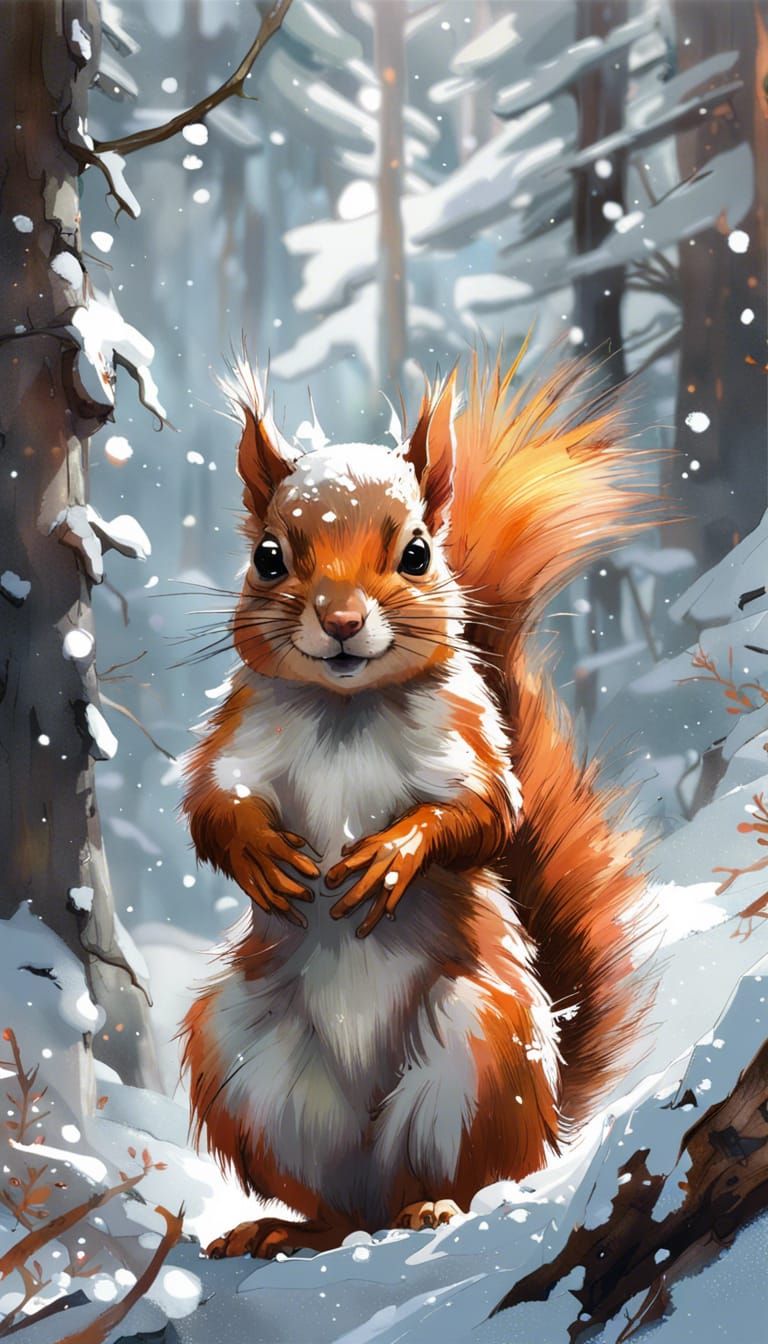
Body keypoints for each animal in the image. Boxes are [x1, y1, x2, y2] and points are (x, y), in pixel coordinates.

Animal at [180, 347, 649, 1260]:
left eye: (419, 553)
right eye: (268, 558)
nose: (340, 621)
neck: (346, 711)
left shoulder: (470, 743)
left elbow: (488, 816)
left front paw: (394, 856)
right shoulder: (235, 742)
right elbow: (209, 808)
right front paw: (260, 853)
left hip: (479, 1048)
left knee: (472, 1177)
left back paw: (435, 1207)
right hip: (240, 1059)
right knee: (331, 1206)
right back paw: (284, 1228)